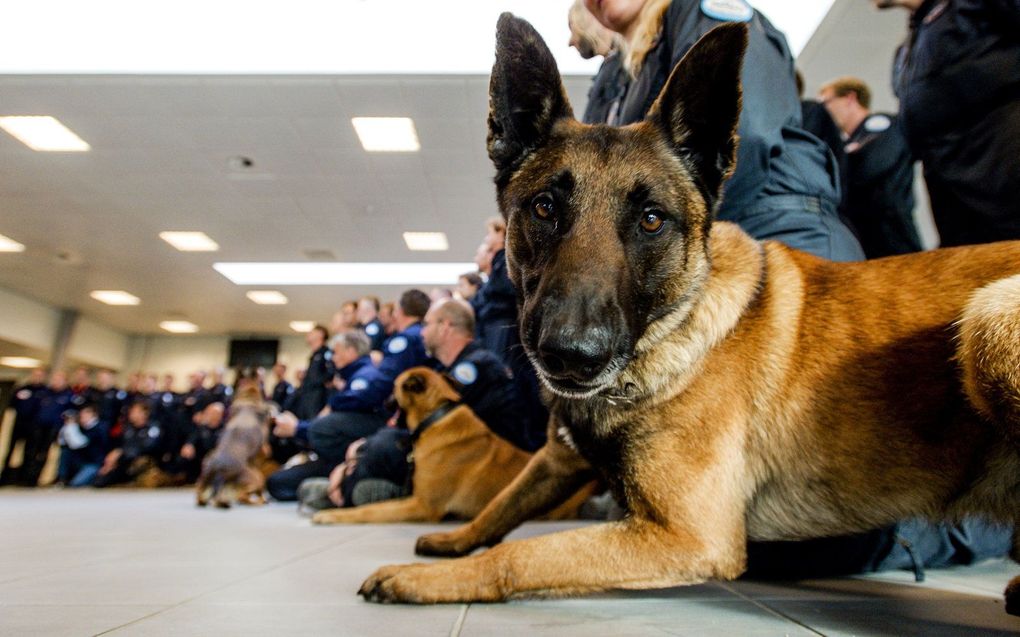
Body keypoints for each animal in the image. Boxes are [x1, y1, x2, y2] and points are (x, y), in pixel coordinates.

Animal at [314, 364, 595, 525]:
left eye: (393, 387)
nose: (382, 402)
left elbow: (370, 511)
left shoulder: (424, 506)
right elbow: (374, 506)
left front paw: (333, 515)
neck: (436, 417)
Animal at [359, 14, 1020, 611]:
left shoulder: (686, 535)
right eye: (544, 207)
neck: (674, 330)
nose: (570, 355)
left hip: (989, 319)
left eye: (652, 220)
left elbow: (520, 554)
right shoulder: (558, 457)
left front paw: (426, 579)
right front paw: (454, 541)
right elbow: (504, 505)